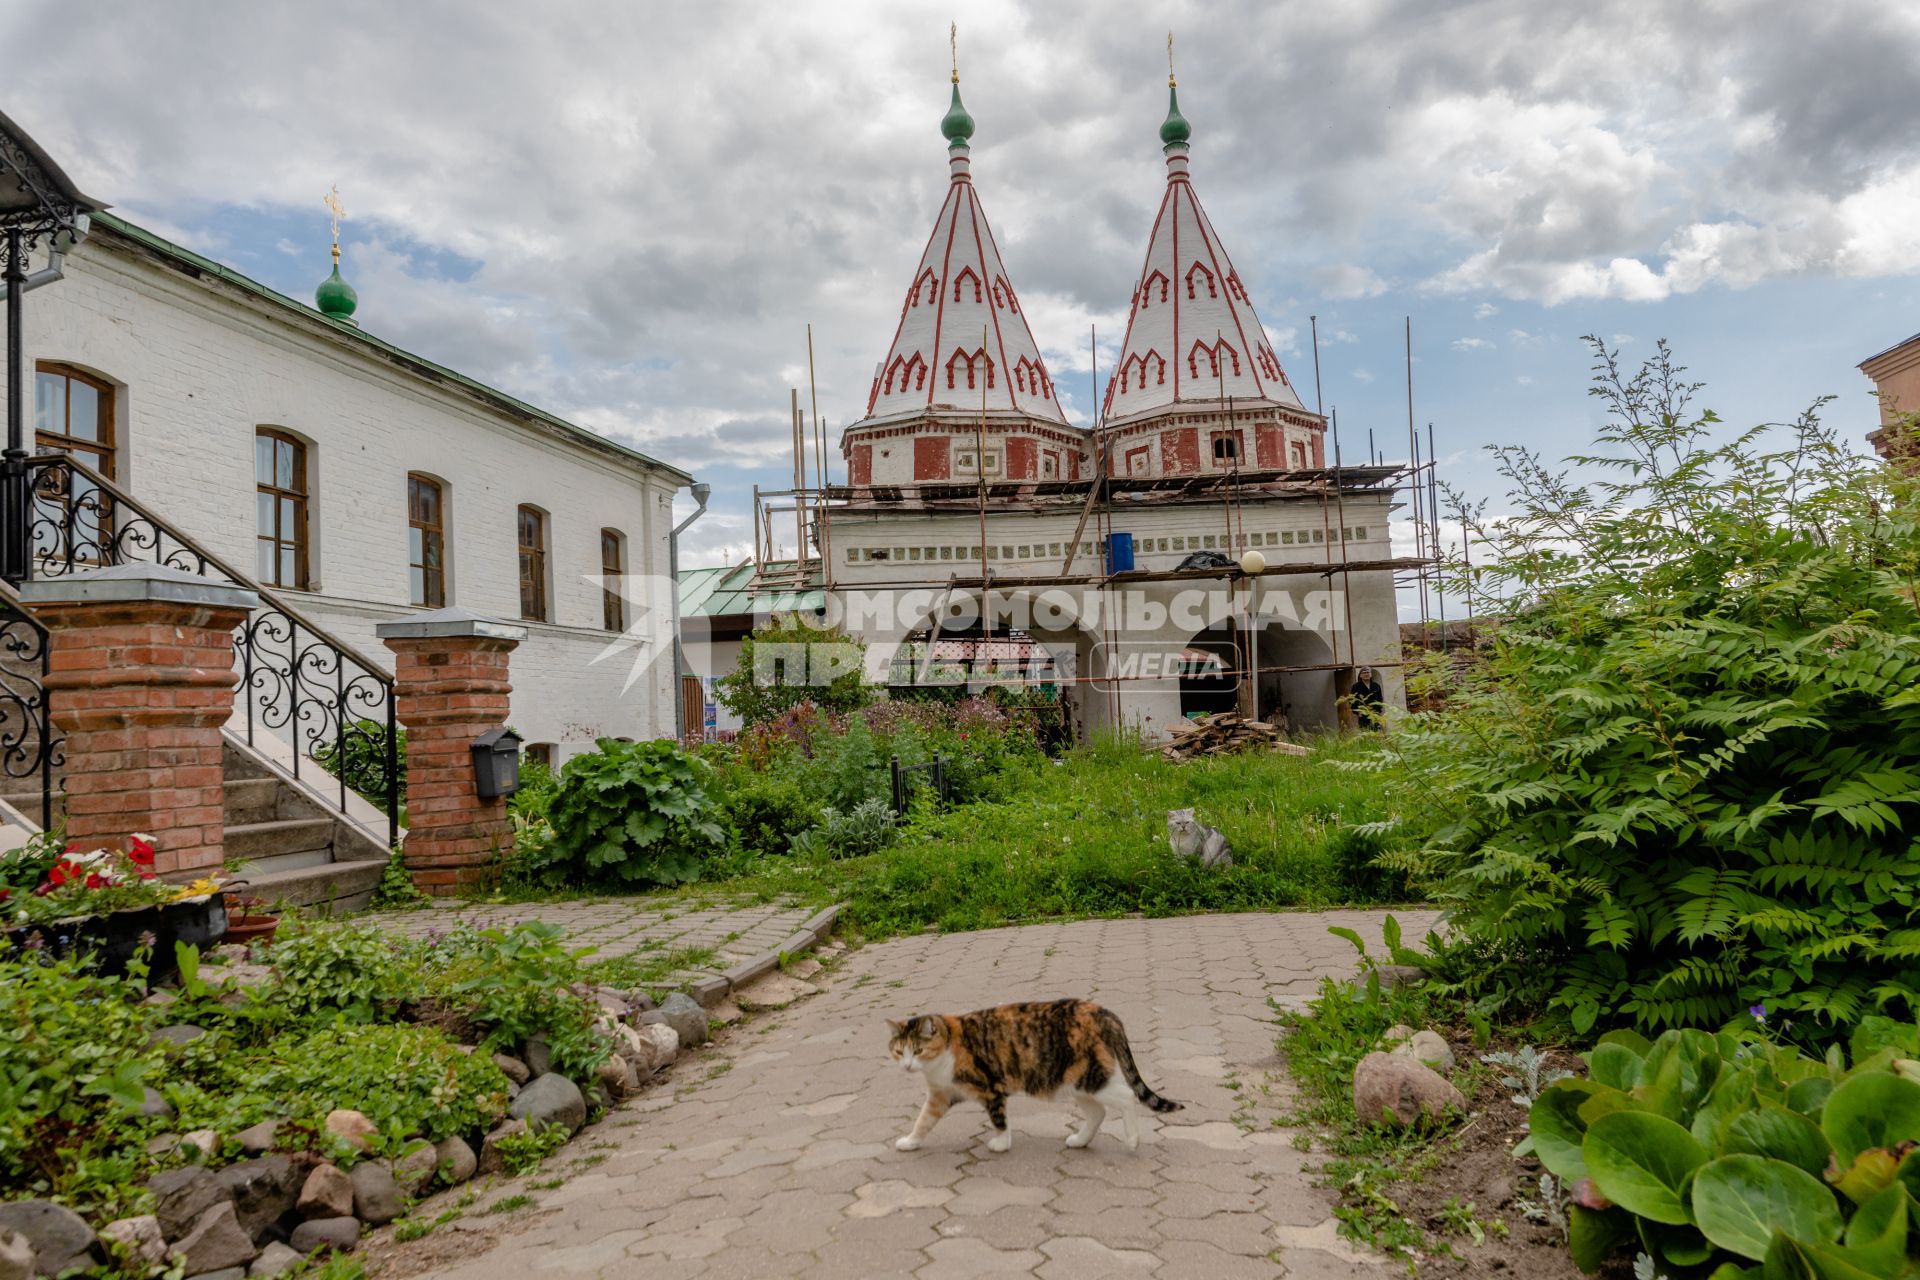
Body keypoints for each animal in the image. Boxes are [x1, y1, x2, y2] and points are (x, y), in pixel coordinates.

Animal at [887, 997, 1182, 1159]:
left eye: (918, 1050)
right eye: (899, 1051)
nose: (907, 1066)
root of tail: (1105, 1013)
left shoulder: (991, 1089)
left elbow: (999, 1120)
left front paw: (1001, 1144)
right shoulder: (941, 1094)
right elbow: (923, 1120)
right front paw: (910, 1142)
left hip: (1089, 1077)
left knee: (1127, 1096)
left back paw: (1132, 1140)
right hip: (1074, 1081)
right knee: (1098, 1112)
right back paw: (1080, 1140)